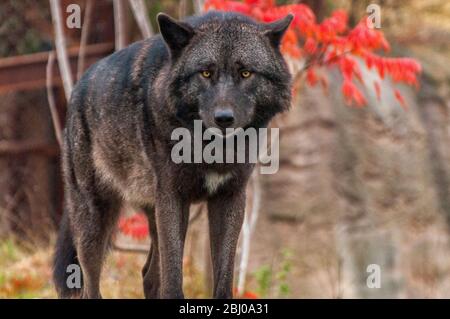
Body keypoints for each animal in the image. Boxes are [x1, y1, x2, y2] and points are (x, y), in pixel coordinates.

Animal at [53, 10, 292, 300]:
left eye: (246, 73)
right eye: (205, 73)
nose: (224, 118)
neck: (210, 149)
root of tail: (78, 86)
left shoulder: (230, 196)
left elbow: (223, 278)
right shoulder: (173, 197)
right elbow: (173, 277)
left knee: (148, 275)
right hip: (94, 219)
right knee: (92, 286)